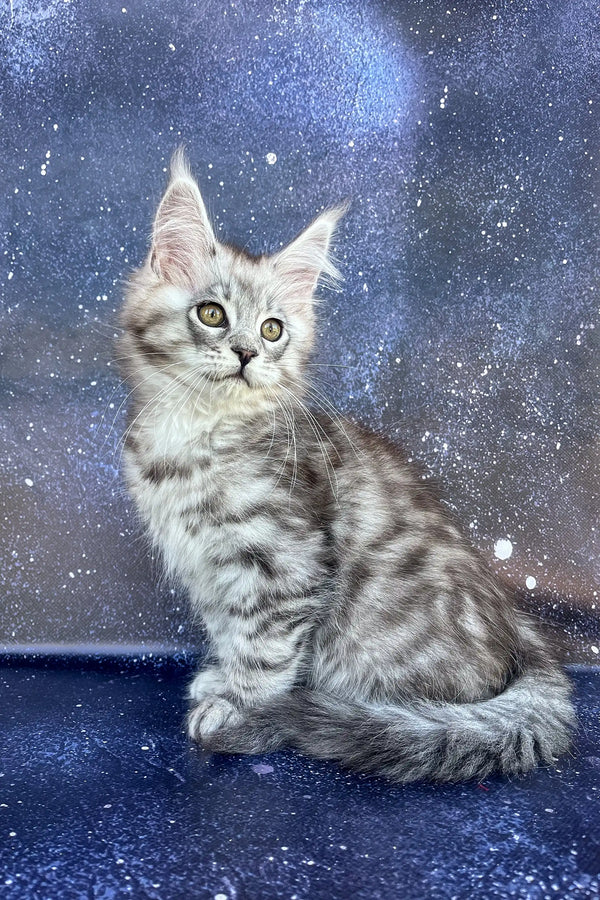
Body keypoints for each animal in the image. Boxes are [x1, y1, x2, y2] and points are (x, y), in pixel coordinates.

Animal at [118, 151, 576, 784]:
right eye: (212, 314)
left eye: (272, 330)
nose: (246, 354)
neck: (196, 433)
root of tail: (519, 642)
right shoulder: (207, 569)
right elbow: (232, 632)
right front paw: (221, 682)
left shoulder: (284, 565)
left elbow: (263, 650)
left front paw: (242, 711)